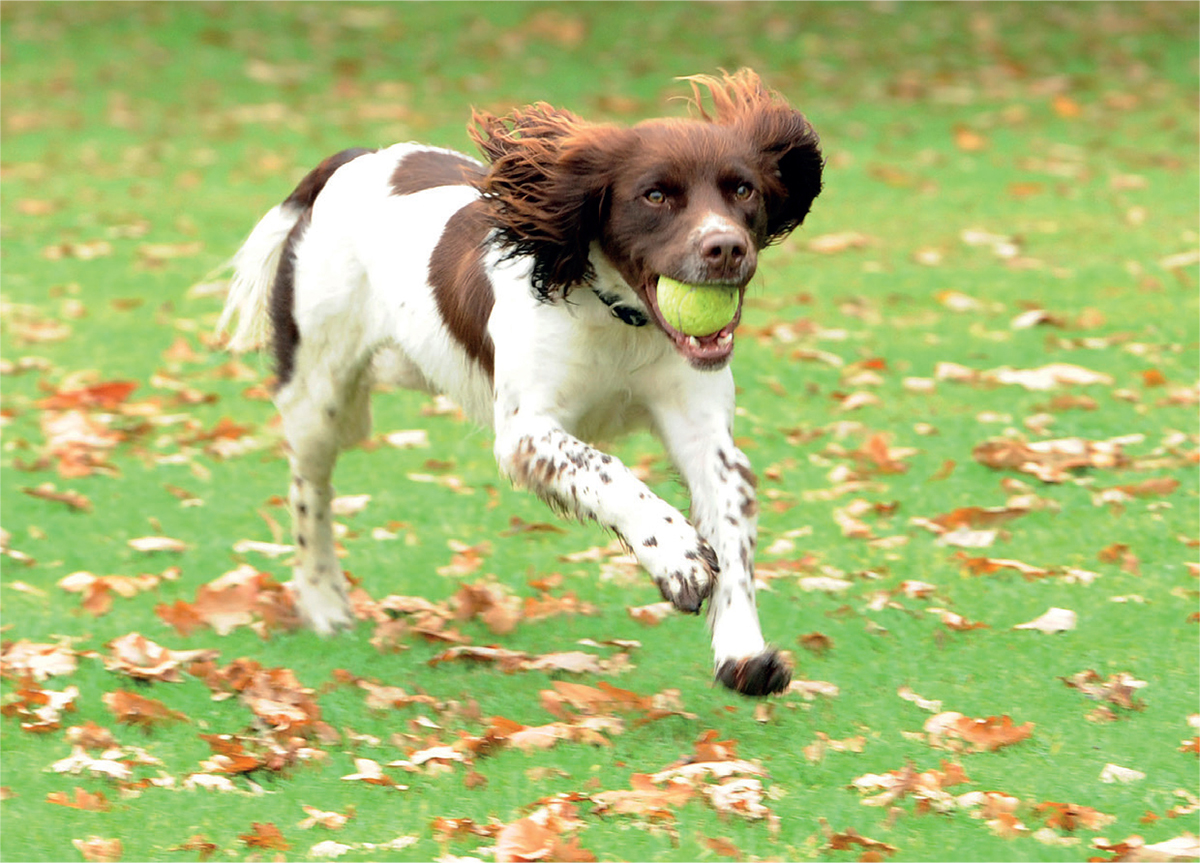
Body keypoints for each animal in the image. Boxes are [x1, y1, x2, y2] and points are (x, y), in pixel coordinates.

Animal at [220, 70, 820, 700]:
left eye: (743, 190)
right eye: (655, 196)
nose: (725, 248)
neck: (619, 319)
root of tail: (356, 159)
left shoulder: (704, 433)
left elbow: (731, 526)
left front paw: (742, 652)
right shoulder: (526, 433)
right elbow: (607, 472)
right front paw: (678, 557)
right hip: (321, 390)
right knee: (310, 493)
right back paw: (323, 601)